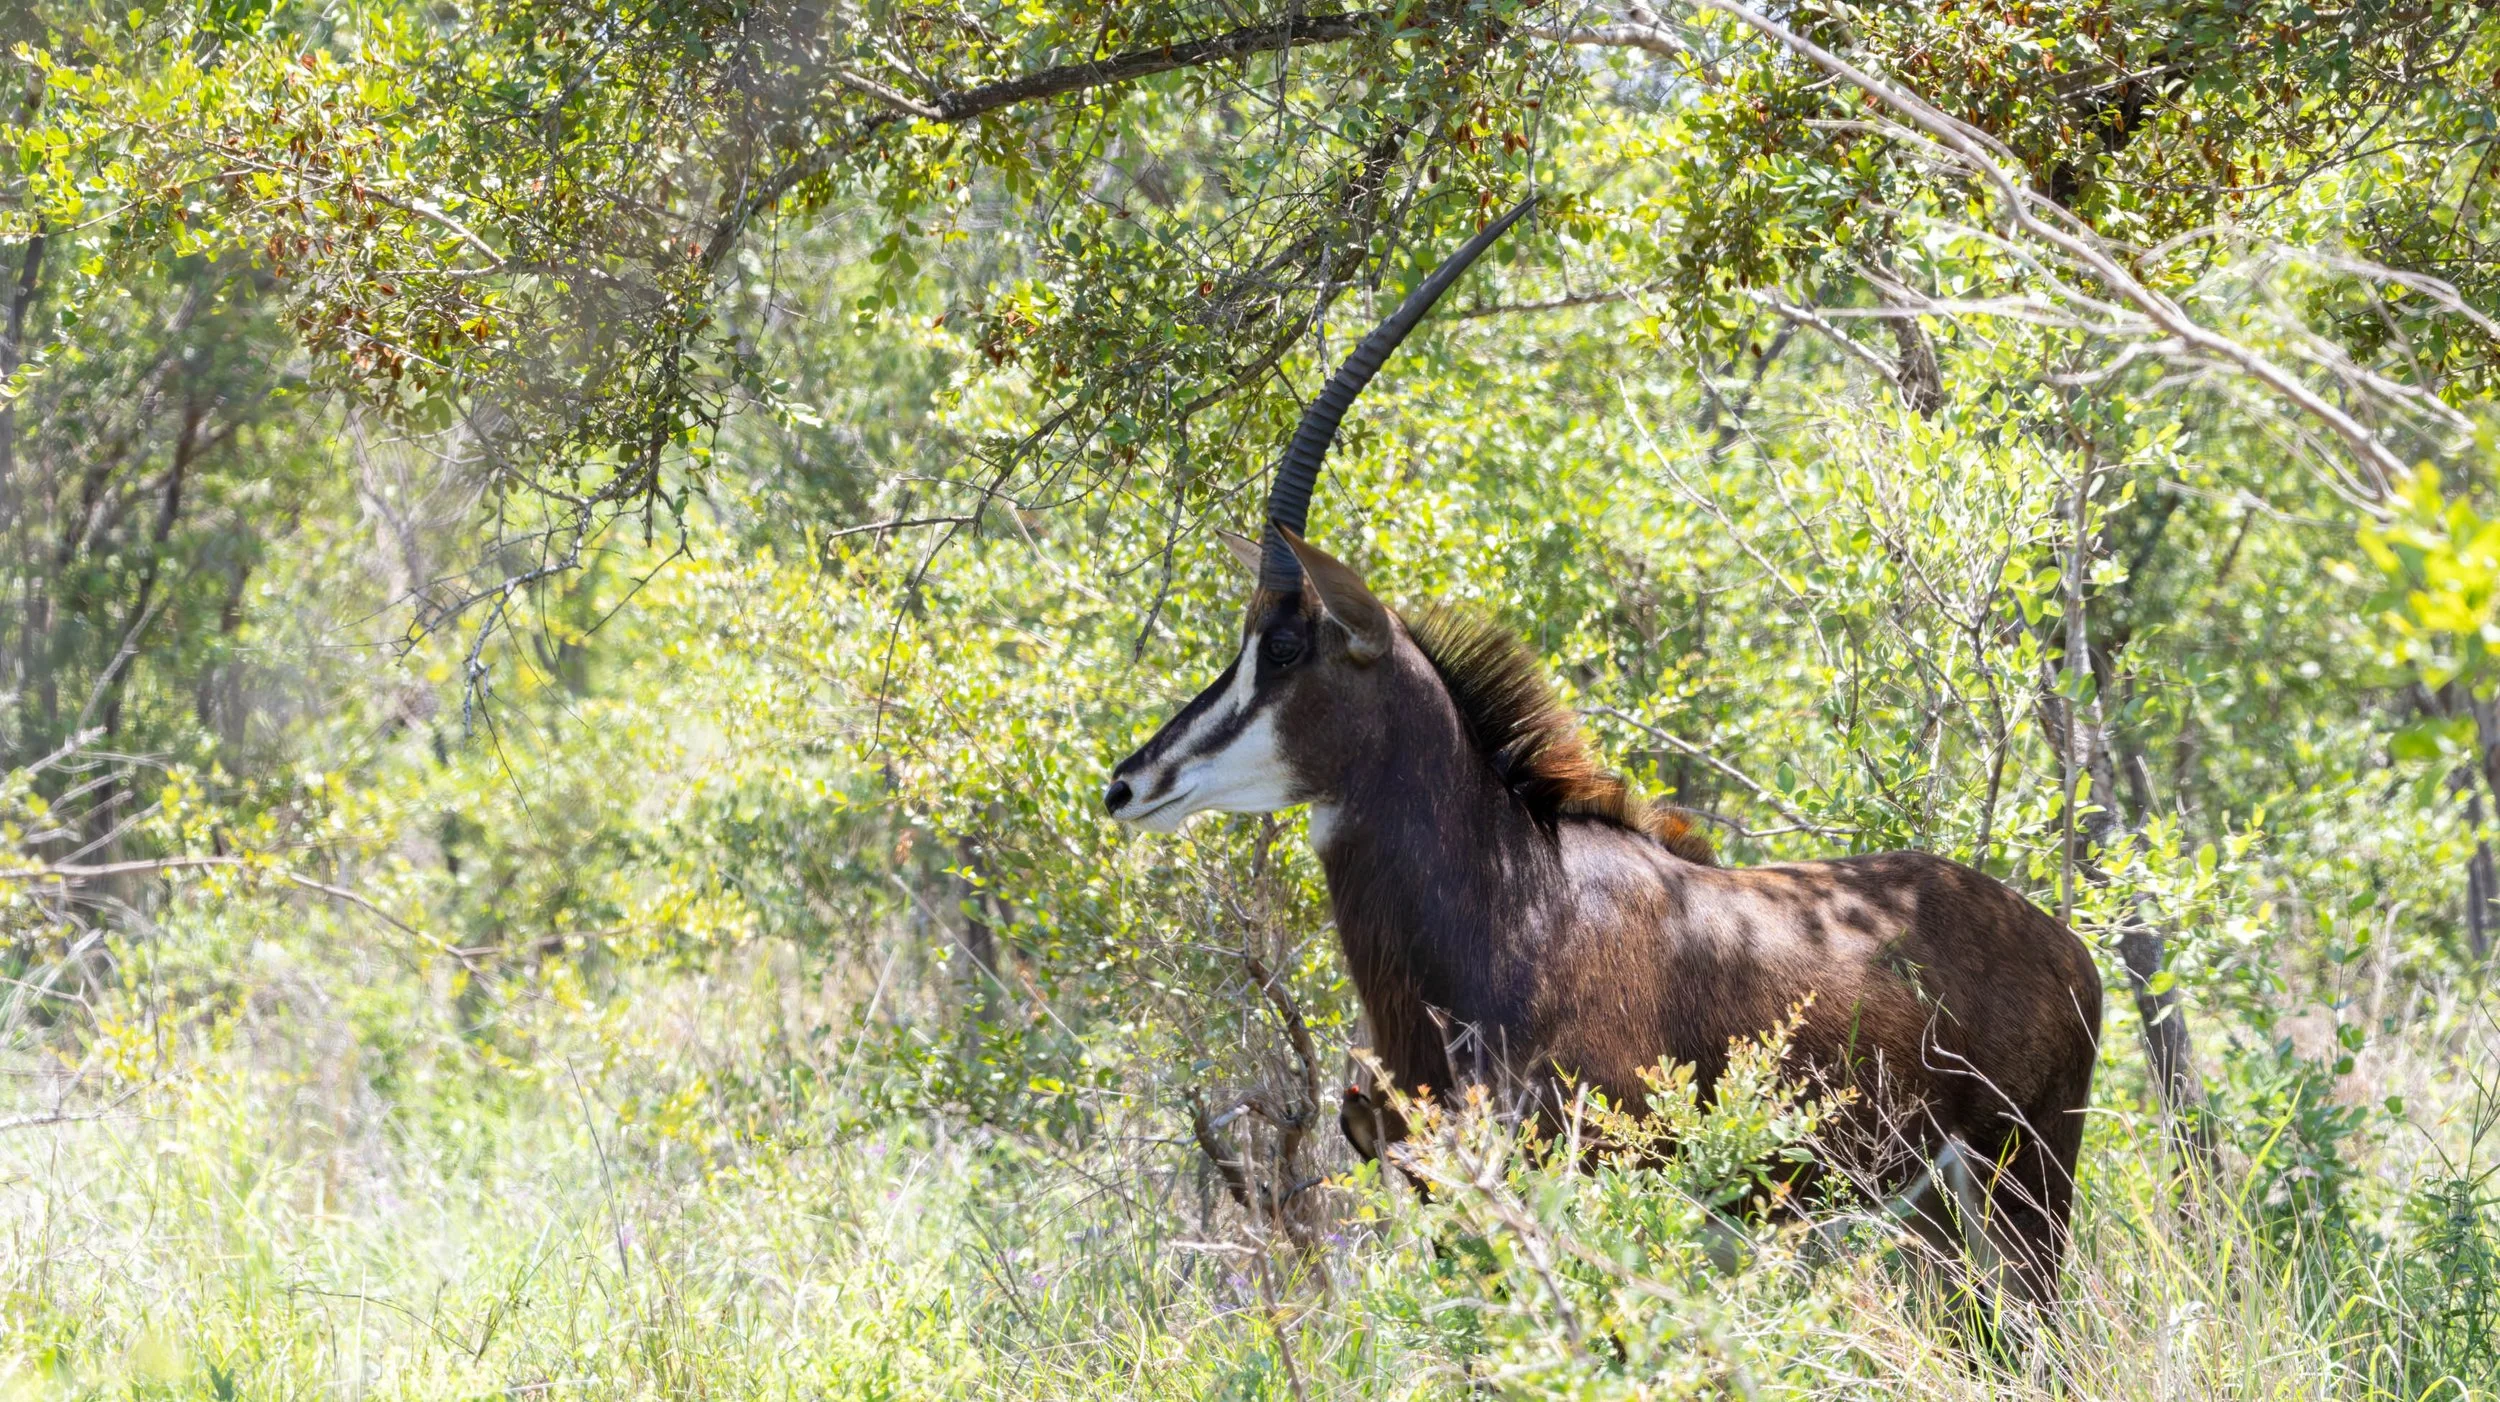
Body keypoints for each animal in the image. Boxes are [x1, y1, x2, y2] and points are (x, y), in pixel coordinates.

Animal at [1104, 200, 2102, 1307]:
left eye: (1283, 646)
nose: (1129, 783)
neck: (1514, 901)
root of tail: (2069, 950)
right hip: (1936, 1210)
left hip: (2026, 1187)